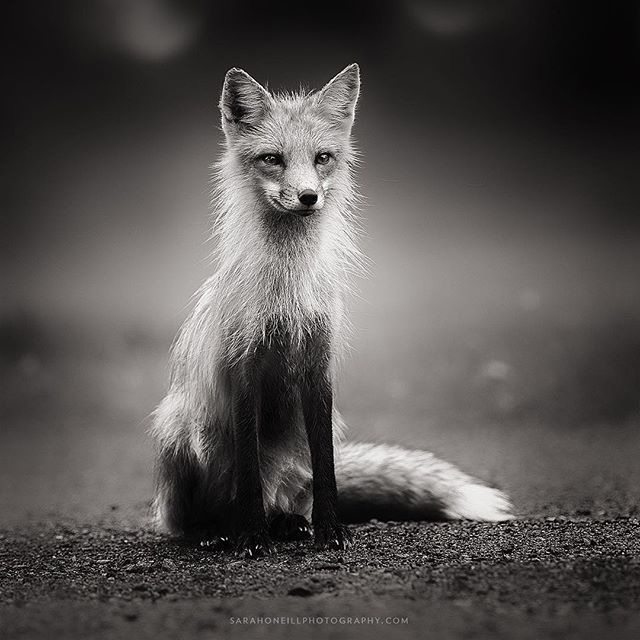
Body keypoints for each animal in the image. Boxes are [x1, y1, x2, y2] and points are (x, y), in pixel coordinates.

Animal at [151, 63, 512, 557]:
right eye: (272, 159)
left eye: (322, 158)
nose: (308, 197)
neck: (287, 292)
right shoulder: (243, 365)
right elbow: (247, 468)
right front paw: (250, 537)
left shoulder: (319, 364)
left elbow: (328, 469)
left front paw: (329, 529)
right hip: (183, 430)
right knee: (191, 518)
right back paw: (219, 529)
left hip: (307, 444)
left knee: (290, 495)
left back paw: (288, 523)